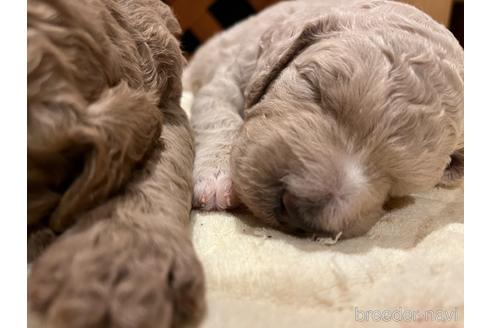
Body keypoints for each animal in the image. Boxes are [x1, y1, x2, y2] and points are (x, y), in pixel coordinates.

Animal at [185, 1, 466, 240]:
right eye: (315, 89)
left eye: (398, 184)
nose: (297, 209)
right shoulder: (230, 73)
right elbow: (218, 115)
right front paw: (216, 178)